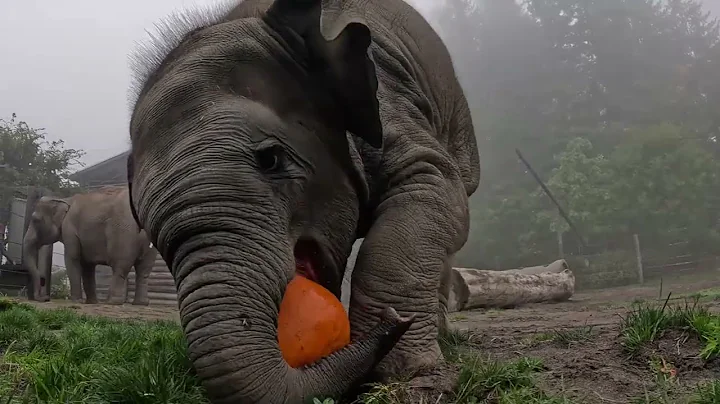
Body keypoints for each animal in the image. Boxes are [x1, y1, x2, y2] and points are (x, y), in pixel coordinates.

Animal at [22, 186, 157, 305]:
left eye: (35, 220)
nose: (45, 298)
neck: (65, 199)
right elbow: (87, 266)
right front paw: (91, 302)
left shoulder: (69, 230)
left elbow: (72, 258)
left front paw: (77, 301)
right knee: (144, 270)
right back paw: (141, 303)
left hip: (123, 233)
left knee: (120, 267)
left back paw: (112, 302)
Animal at [125, 0, 480, 402]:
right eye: (146, 224)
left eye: (271, 159)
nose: (393, 320)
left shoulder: (394, 108)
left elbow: (431, 189)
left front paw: (410, 379)